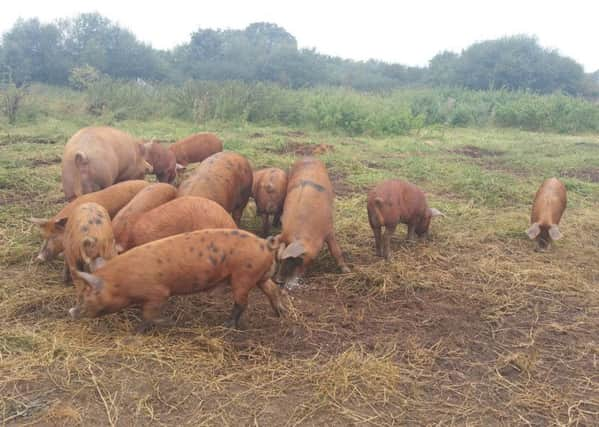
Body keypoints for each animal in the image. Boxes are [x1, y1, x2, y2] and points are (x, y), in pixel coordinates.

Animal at [70, 229, 286, 332]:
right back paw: (280, 314)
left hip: (242, 276)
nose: (71, 311)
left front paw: (146, 328)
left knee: (242, 303)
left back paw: (226, 324)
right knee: (272, 289)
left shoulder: (158, 293)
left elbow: (149, 315)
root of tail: (264, 244)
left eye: (87, 295)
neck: (120, 282)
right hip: (258, 275)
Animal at [270, 157, 350, 288]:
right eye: (279, 259)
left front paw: (346, 270)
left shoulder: (329, 229)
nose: (278, 281)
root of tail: (308, 156)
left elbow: (336, 250)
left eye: (297, 259)